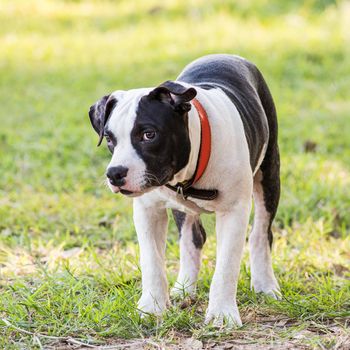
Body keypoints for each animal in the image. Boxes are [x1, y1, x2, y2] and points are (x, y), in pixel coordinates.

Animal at [89, 54, 280, 328]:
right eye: (109, 139)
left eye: (149, 134)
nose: (115, 173)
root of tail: (227, 55)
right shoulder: (148, 210)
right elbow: (152, 261)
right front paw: (152, 307)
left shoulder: (234, 211)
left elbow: (226, 266)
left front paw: (222, 314)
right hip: (182, 209)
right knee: (192, 239)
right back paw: (184, 288)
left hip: (269, 173)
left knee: (261, 233)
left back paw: (265, 284)